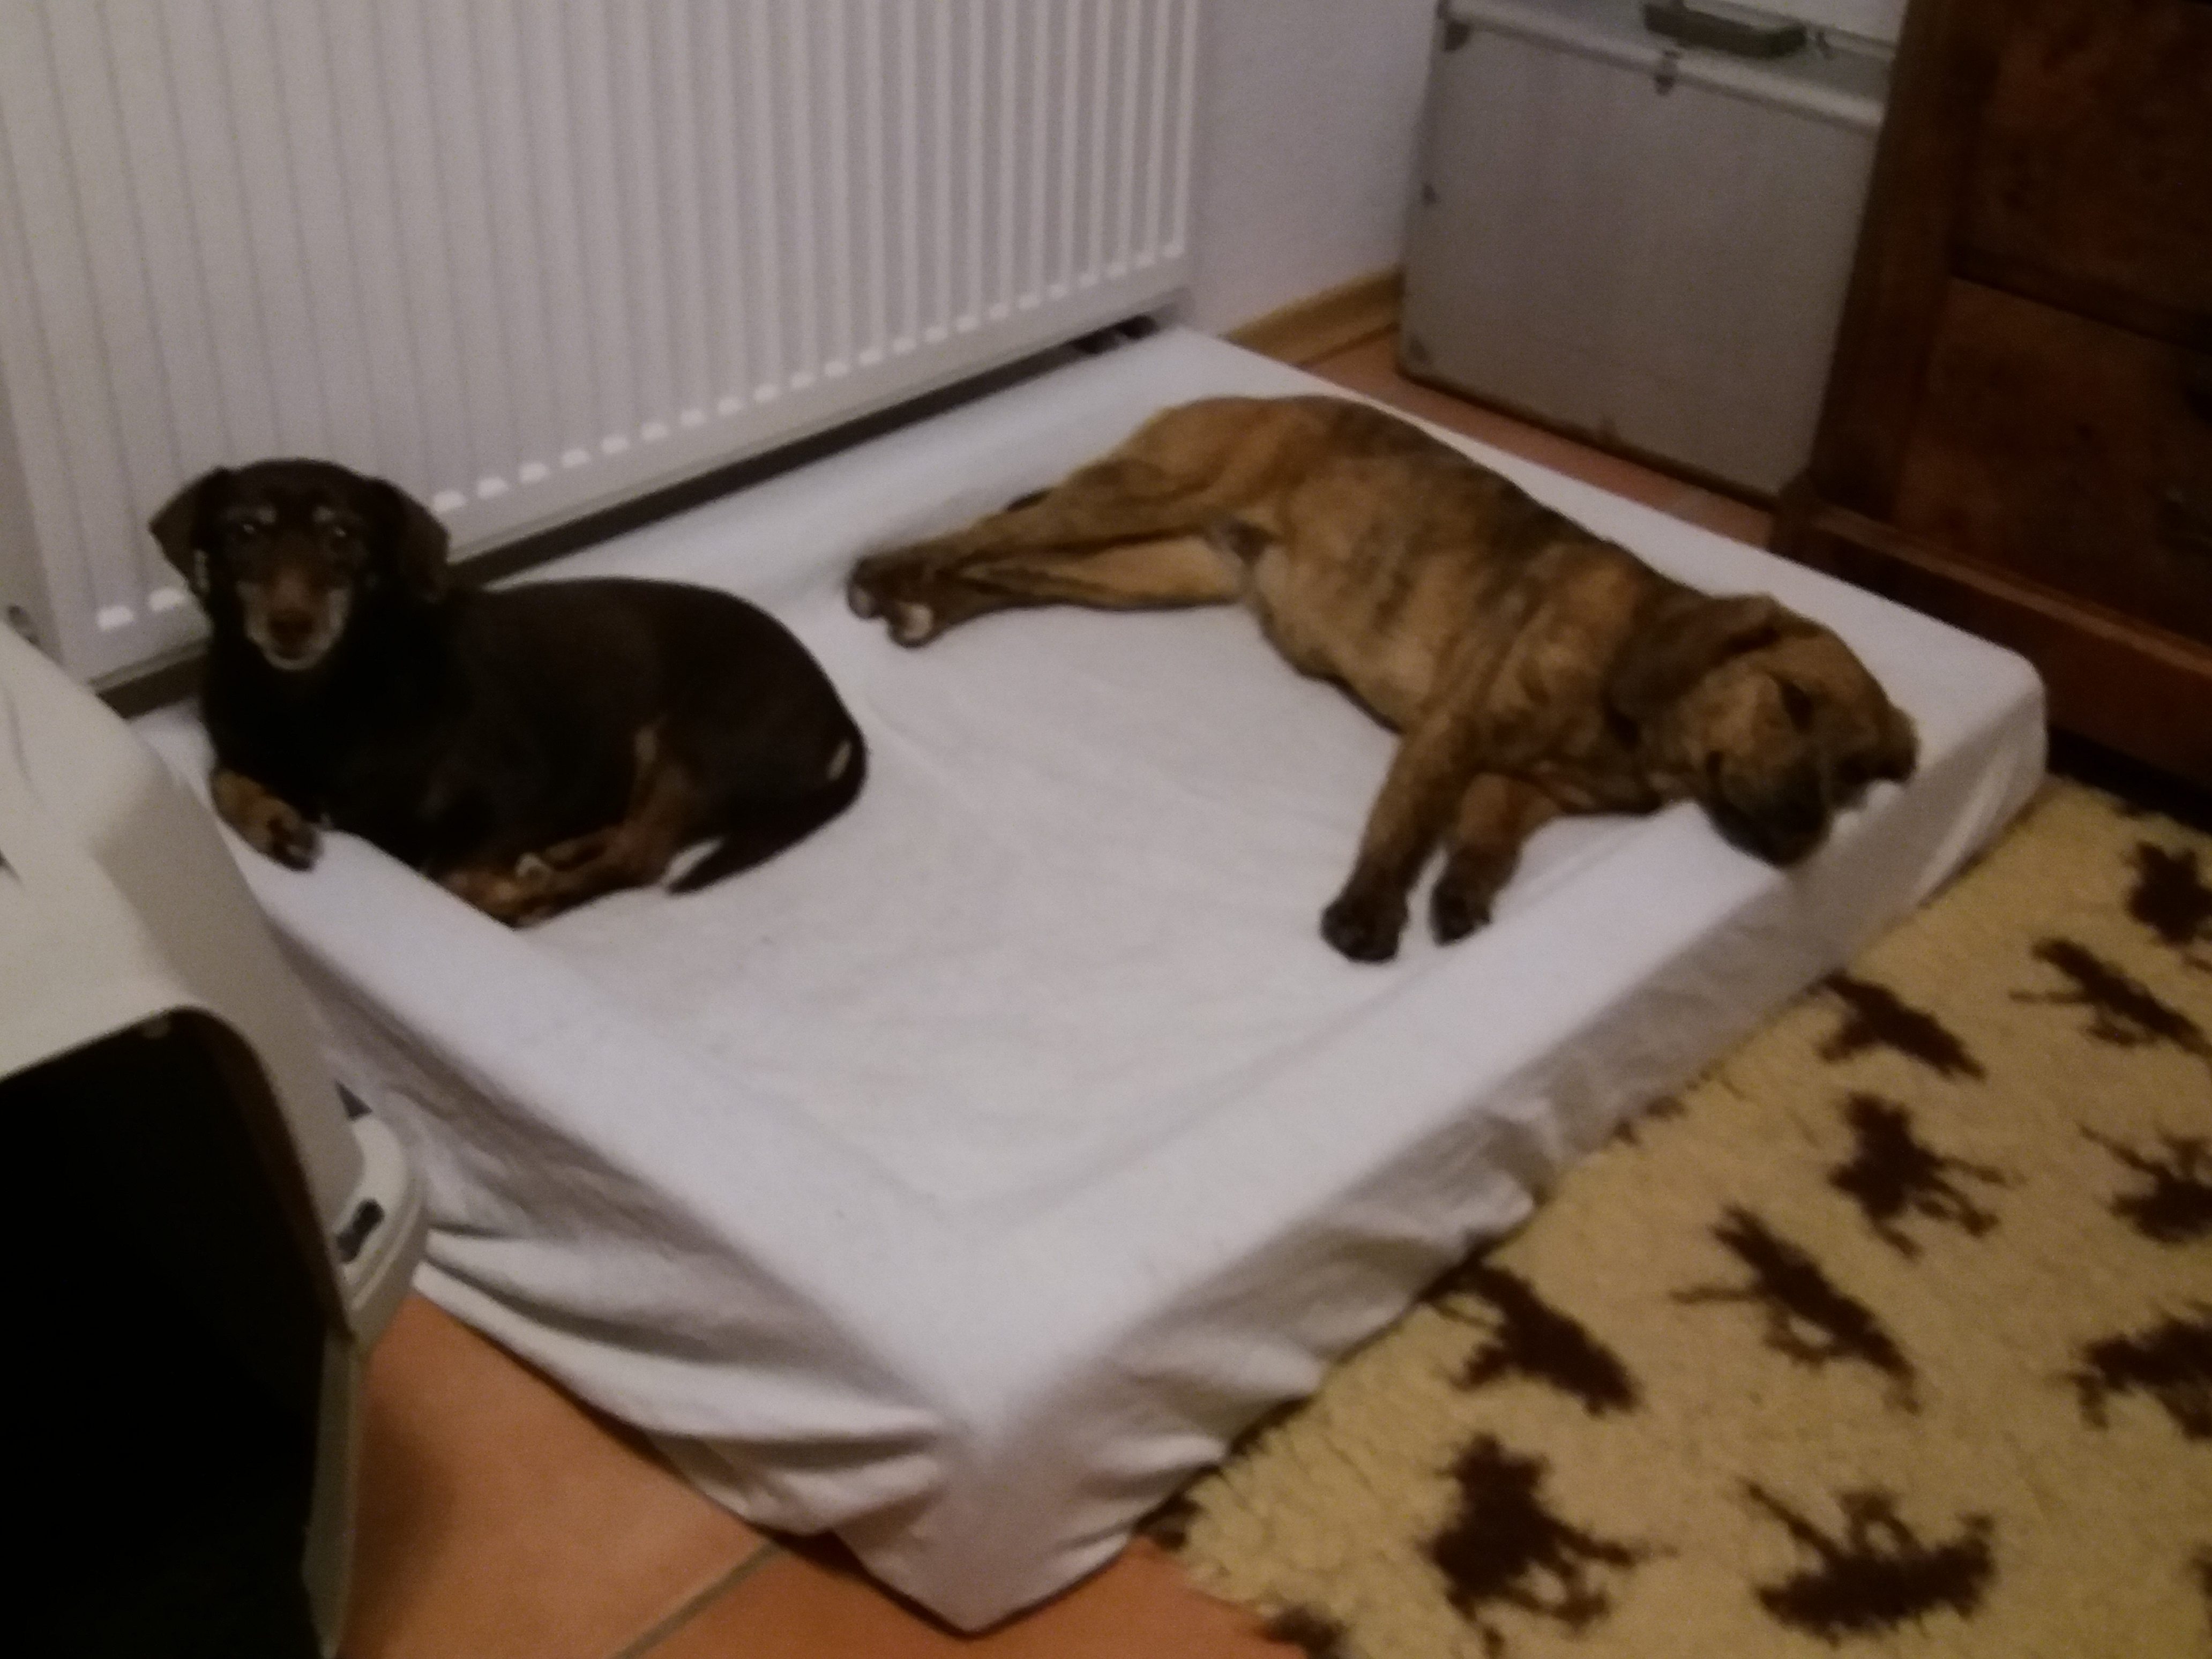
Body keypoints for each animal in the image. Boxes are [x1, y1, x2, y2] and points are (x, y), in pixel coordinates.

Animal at [155, 459, 865, 924]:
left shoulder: (514, 796)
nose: (291, 625)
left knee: (640, 855)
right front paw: (274, 823)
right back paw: (556, 856)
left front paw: (515, 896)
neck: (321, 699)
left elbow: (452, 876)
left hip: (696, 742)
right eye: (243, 533)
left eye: (343, 537)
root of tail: (838, 712)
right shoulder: (240, 749)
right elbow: (222, 777)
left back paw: (545, 883)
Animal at [848, 396, 1916, 962]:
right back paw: (884, 572)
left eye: (1857, 773)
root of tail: (1250, 396)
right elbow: (1407, 823)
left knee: (1010, 573)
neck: (1633, 704)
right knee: (981, 534)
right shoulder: (1456, 727)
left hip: (1154, 572)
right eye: (1792, 700)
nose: (1802, 831)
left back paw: (926, 606)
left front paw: (1464, 900)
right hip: (1142, 500)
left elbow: (1484, 845)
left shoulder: (1527, 792)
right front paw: (1367, 915)